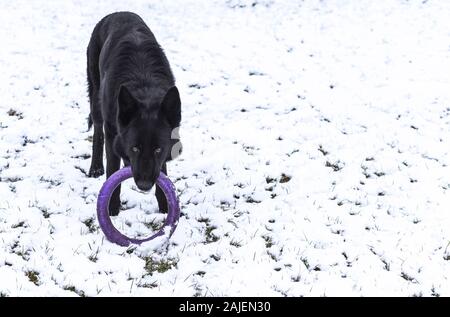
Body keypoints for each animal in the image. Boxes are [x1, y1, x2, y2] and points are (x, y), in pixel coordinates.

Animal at [86, 11, 181, 215]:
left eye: (158, 150)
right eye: (135, 148)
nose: (144, 185)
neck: (144, 86)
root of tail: (118, 12)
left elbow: (162, 170)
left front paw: (165, 207)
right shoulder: (112, 132)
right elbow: (112, 170)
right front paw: (112, 209)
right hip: (96, 99)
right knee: (97, 129)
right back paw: (95, 167)